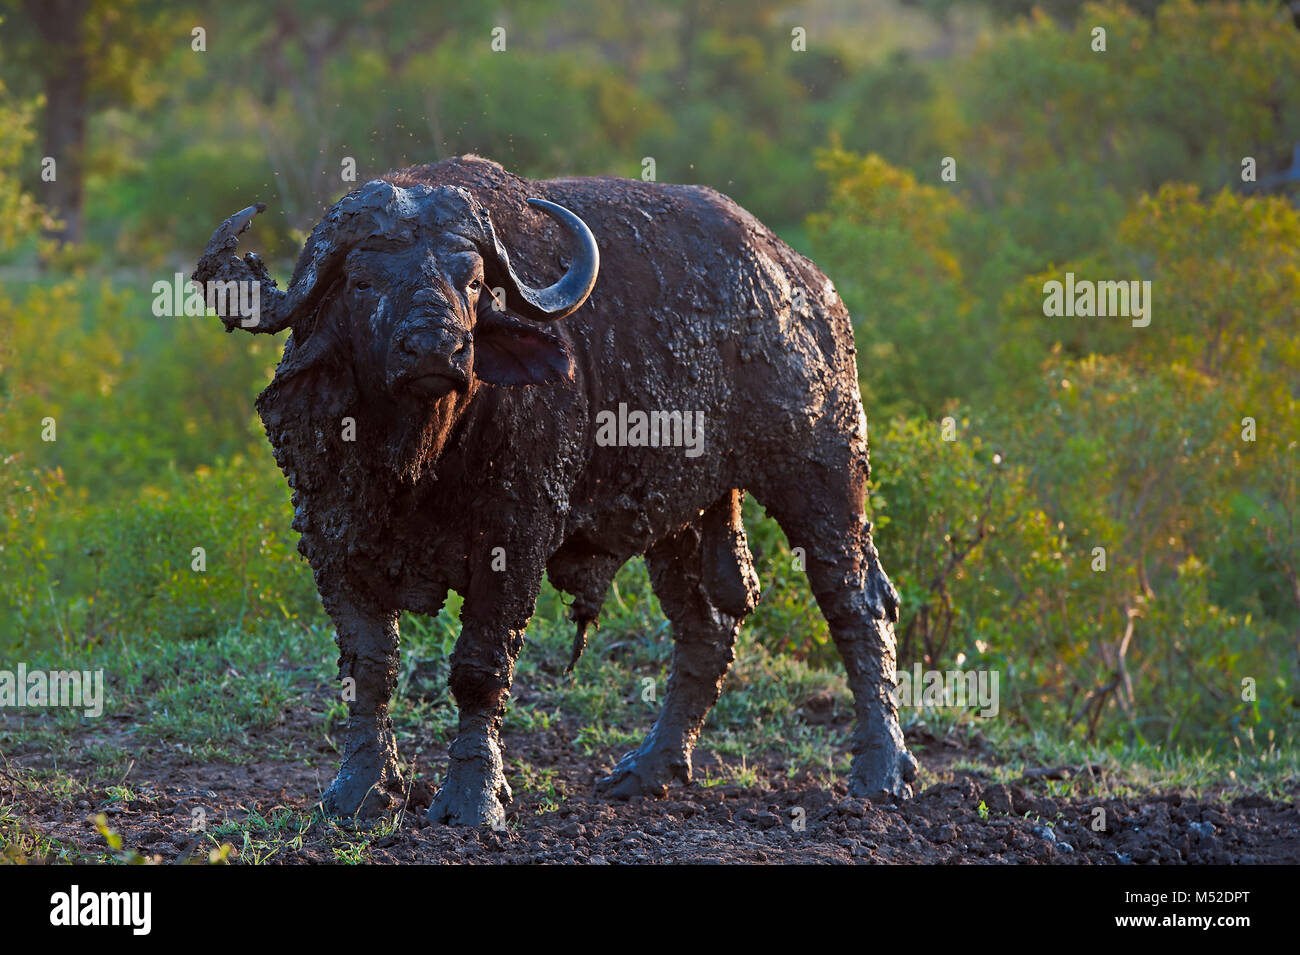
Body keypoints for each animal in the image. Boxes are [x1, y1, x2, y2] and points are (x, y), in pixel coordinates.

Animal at [197, 153, 920, 826]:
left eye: (472, 280)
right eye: (362, 279)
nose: (437, 349)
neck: (415, 460)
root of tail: (804, 284)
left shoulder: (515, 539)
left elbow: (479, 668)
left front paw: (473, 798)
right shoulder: (331, 541)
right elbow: (368, 668)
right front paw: (362, 789)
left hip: (821, 467)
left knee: (857, 601)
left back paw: (881, 769)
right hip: (681, 513)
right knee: (705, 627)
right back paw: (649, 768)